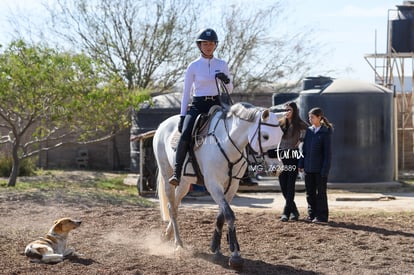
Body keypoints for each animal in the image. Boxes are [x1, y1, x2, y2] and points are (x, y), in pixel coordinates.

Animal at [153, 102, 284, 268]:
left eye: (281, 135)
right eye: (265, 136)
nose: (277, 168)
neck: (227, 143)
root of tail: (163, 124)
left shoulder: (232, 186)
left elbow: (221, 216)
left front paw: (216, 248)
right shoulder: (213, 185)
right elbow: (229, 214)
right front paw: (235, 255)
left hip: (185, 183)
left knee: (175, 205)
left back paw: (167, 235)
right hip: (167, 175)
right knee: (171, 207)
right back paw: (178, 244)